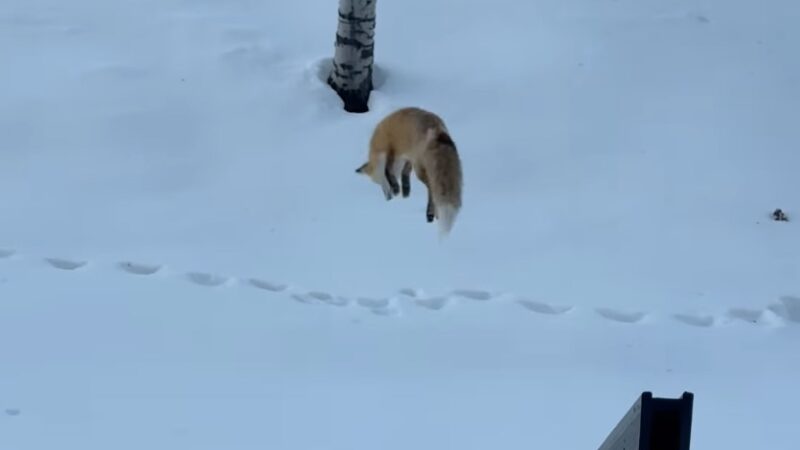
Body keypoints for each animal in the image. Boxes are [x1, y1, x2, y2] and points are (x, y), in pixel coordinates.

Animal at [356, 107, 462, 237]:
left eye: (381, 182)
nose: (388, 198)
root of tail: (436, 129)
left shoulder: (392, 151)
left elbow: (388, 171)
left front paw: (396, 188)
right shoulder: (407, 158)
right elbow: (404, 175)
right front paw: (405, 193)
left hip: (420, 169)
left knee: (432, 187)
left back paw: (430, 213)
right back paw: (434, 214)